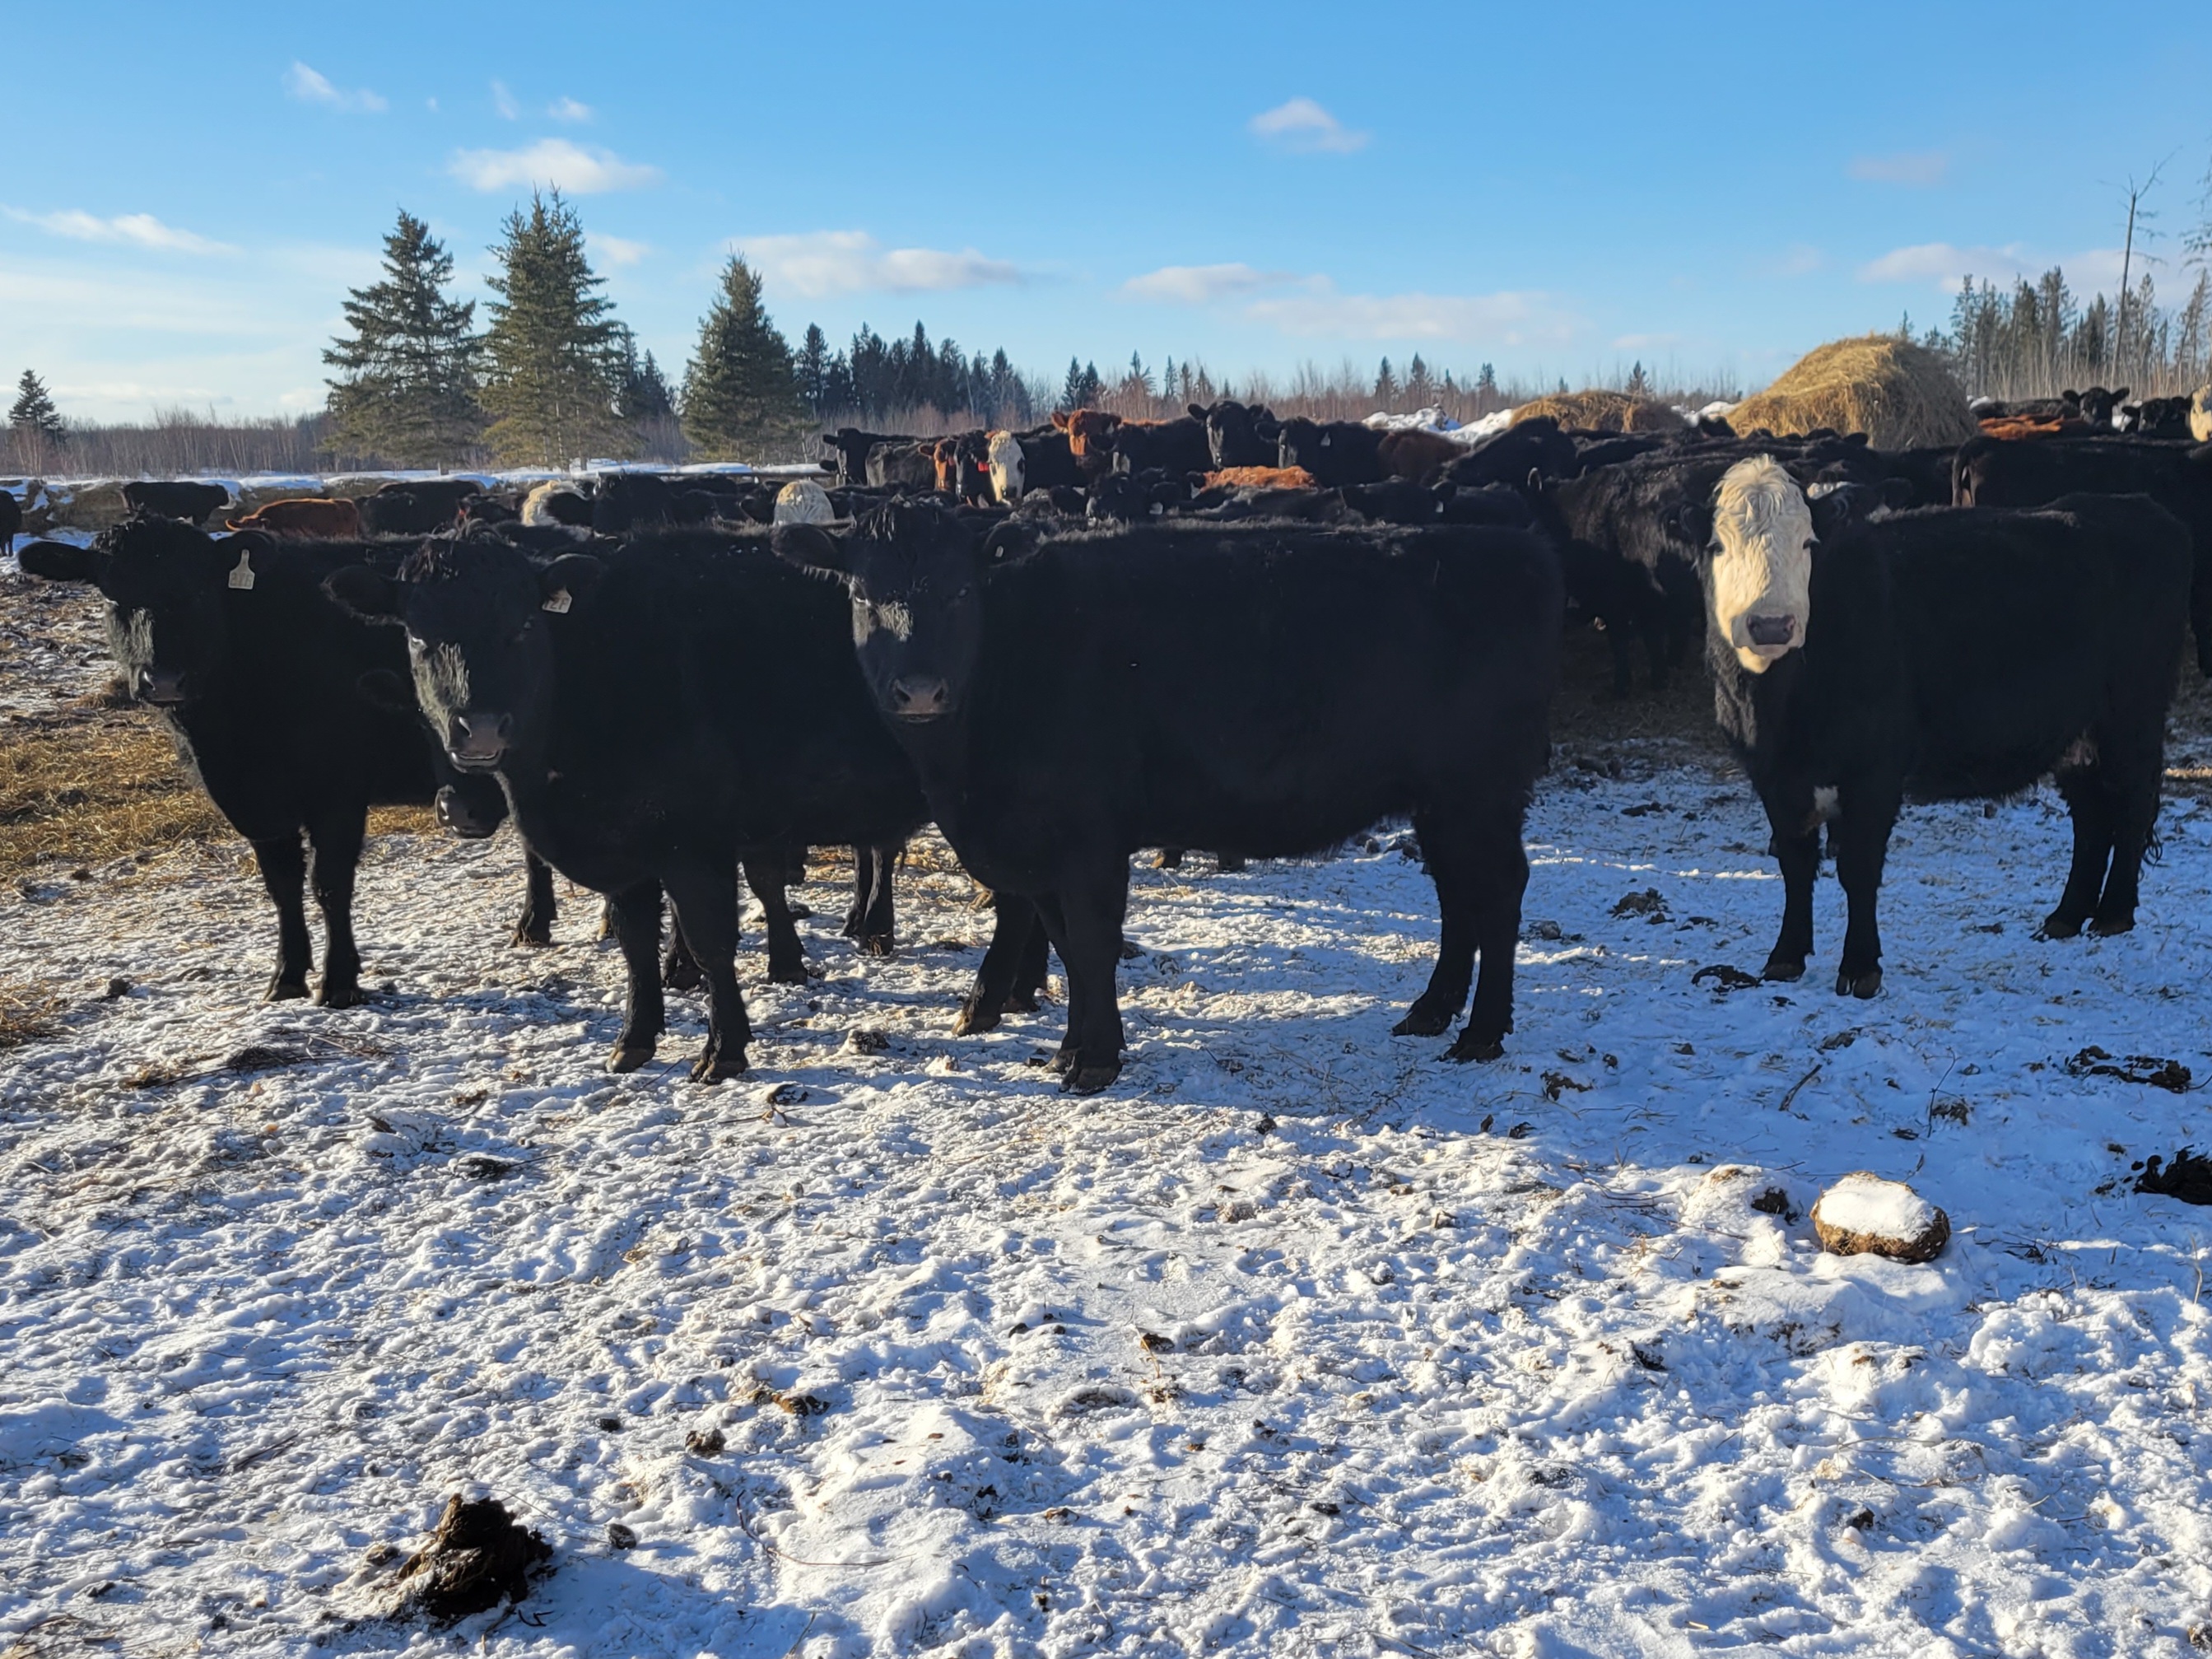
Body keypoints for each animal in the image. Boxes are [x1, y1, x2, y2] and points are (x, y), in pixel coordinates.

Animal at [15, 519, 557, 1003]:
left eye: (199, 592)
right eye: (112, 597)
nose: (163, 679)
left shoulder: (337, 792)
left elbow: (329, 884)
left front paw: (338, 982)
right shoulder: (252, 803)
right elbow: (281, 885)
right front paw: (287, 976)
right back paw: (535, 925)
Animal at [324, 530, 957, 1082]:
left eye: (523, 624)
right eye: (417, 636)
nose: (478, 730)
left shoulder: (694, 845)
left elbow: (709, 941)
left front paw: (723, 1050)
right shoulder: (628, 855)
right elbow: (634, 944)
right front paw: (634, 1038)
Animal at [771, 500, 1563, 1093]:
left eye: (961, 590)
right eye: (862, 595)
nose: (920, 690)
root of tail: (1518, 548)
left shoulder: (1088, 838)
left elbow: (1092, 943)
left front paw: (1094, 1060)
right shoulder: (1038, 850)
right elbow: (1063, 942)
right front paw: (1071, 1048)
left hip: (1479, 791)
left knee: (1497, 893)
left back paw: (1481, 1032)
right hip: (1442, 802)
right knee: (1459, 897)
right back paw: (1430, 1011)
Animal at [1691, 456, 2190, 995]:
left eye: (1808, 543)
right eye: (1718, 546)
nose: (1771, 625)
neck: (1779, 709)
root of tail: (2139, 507)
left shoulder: (1876, 769)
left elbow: (1858, 868)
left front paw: (1861, 967)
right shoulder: (1773, 776)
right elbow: (1795, 865)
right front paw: (1785, 957)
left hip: (2133, 714)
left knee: (2132, 804)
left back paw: (2113, 913)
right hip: (2076, 732)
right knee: (2091, 816)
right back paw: (2066, 917)